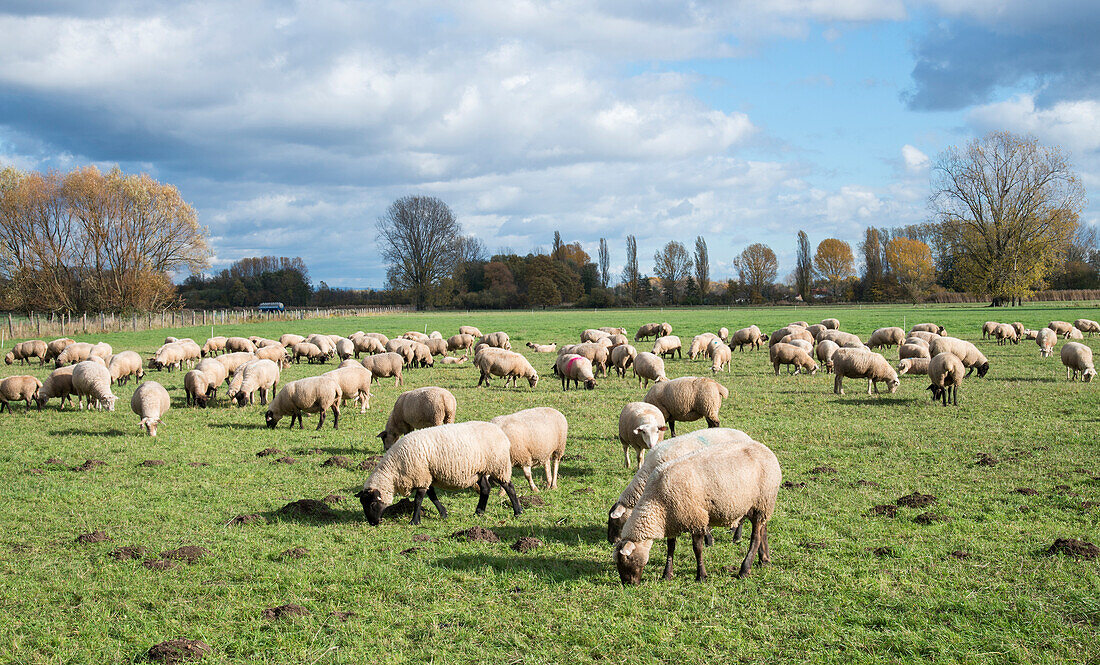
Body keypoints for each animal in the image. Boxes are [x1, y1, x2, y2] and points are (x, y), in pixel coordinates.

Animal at [354, 419, 521, 523]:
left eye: (372, 504)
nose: (373, 523)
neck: (395, 469)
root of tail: (500, 433)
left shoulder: (421, 476)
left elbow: (418, 499)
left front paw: (415, 521)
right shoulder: (427, 475)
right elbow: (432, 496)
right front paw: (443, 513)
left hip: (498, 466)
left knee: (509, 487)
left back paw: (518, 511)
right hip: (479, 470)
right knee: (485, 489)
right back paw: (479, 512)